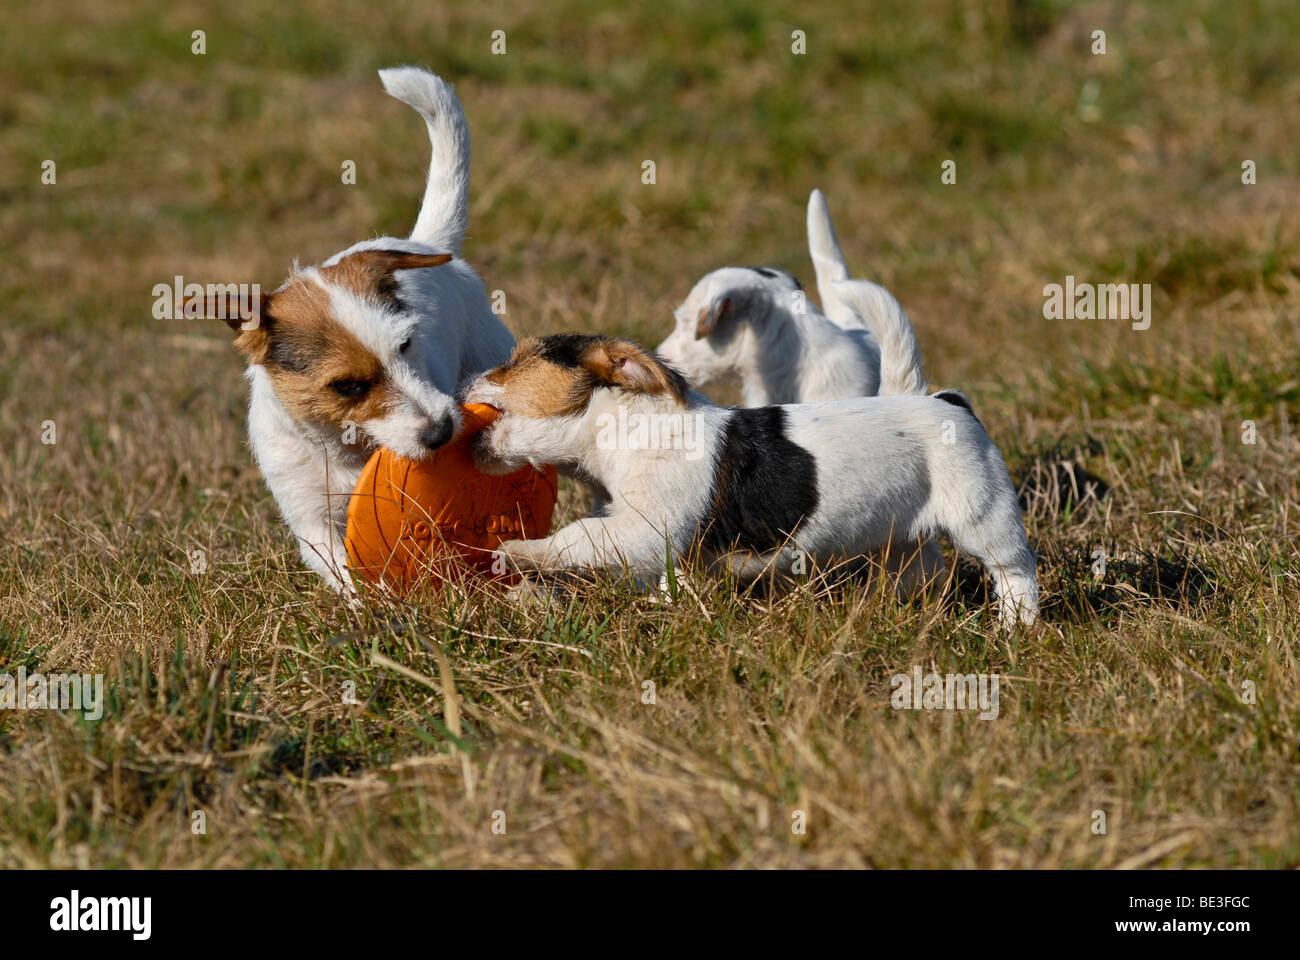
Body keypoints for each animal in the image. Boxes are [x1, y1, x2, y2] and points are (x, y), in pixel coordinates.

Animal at [197, 67, 512, 587]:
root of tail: (423, 242)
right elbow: (346, 574)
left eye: (407, 344)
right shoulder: (310, 520)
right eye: (345, 386)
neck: (346, 448)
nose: (442, 432)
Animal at [462, 333, 1040, 624]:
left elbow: (573, 538)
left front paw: (515, 553)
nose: (465, 380)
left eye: (516, 362)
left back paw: (1015, 628)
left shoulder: (641, 529)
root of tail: (950, 400)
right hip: (902, 539)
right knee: (921, 573)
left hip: (985, 516)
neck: (625, 422)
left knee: (1016, 572)